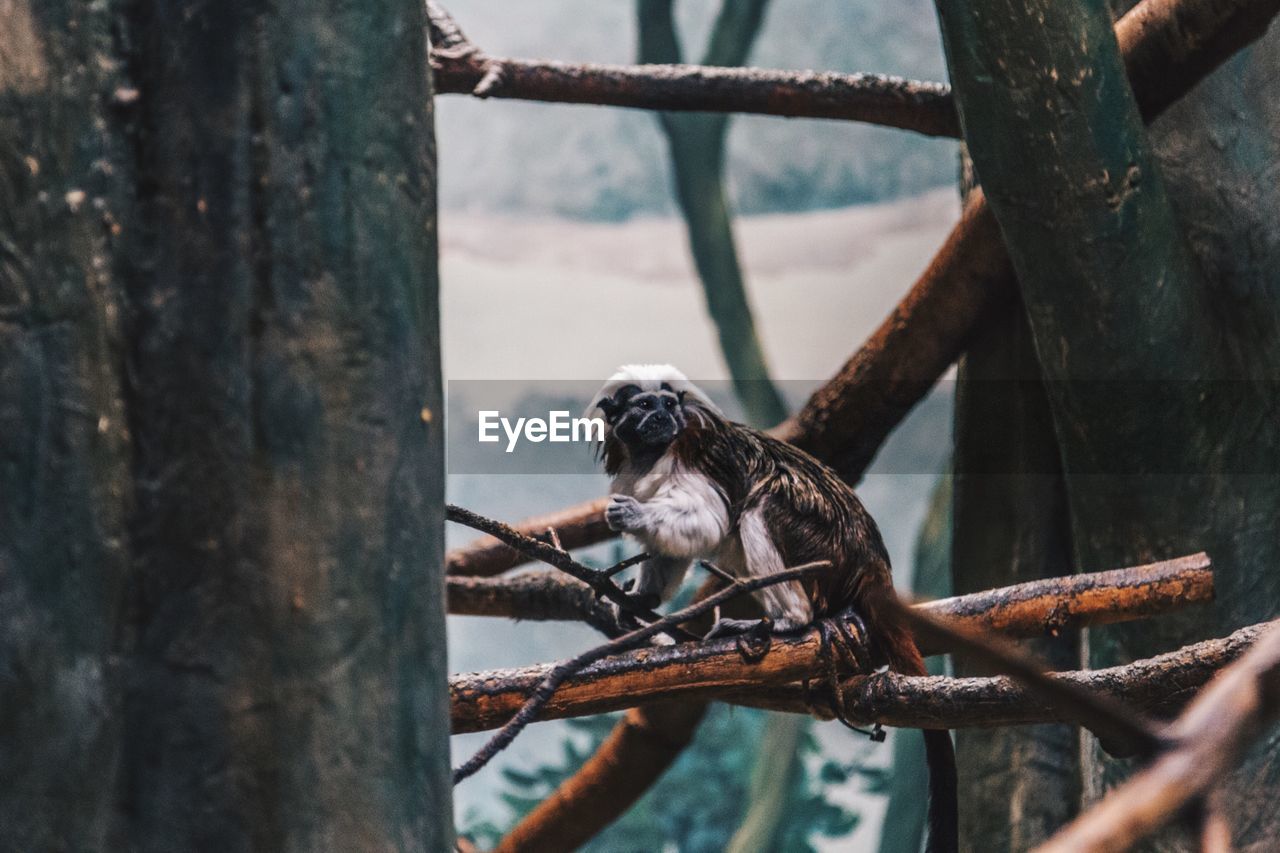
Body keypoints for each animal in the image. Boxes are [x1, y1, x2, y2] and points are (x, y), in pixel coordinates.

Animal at [586, 361, 957, 850]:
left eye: (668, 404)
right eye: (646, 405)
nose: (665, 418)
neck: (650, 453)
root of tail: (870, 559)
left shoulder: (690, 454)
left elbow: (706, 521)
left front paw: (634, 517)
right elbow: (669, 552)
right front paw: (638, 599)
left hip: (821, 547)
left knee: (764, 504)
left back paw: (785, 622)